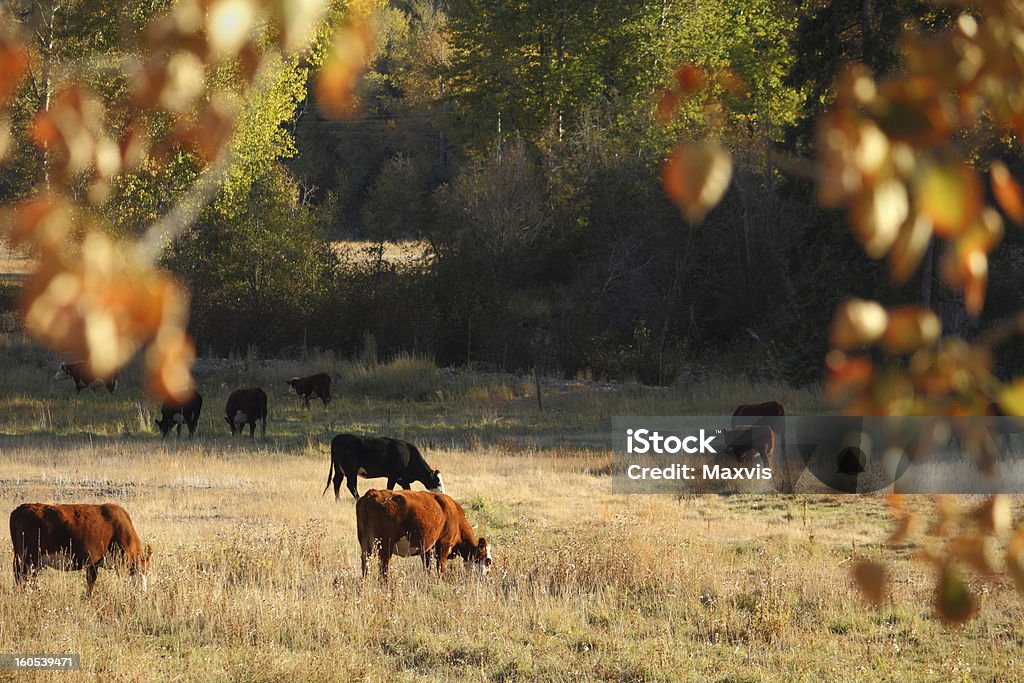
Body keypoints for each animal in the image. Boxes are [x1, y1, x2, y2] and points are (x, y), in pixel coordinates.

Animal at [10, 501, 151, 598]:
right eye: (144, 569)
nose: (144, 592)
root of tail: (21, 508)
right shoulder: (121, 562)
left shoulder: (93, 563)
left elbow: (91, 581)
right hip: (29, 559)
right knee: (24, 579)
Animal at [356, 489, 491, 581]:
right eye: (488, 561)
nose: (488, 578)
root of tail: (372, 493)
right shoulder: (444, 544)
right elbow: (440, 568)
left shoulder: (427, 548)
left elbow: (427, 568)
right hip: (385, 545)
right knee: (384, 569)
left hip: (365, 543)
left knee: (365, 565)